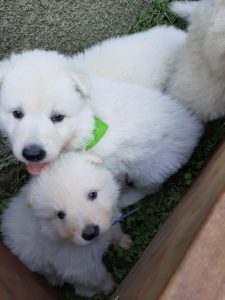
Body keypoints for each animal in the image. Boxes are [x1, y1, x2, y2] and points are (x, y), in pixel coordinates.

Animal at [0, 152, 131, 298]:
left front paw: (125, 242)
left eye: (92, 194)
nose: (90, 233)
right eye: (60, 214)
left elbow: (116, 233)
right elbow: (98, 277)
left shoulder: (111, 222)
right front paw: (109, 287)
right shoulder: (81, 266)